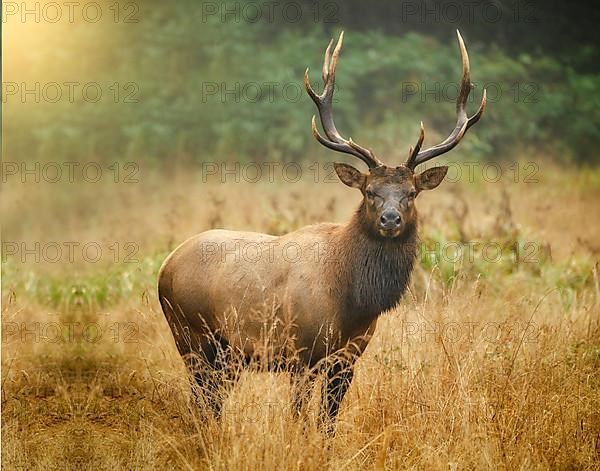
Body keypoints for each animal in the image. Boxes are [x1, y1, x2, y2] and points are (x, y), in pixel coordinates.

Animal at [157, 28, 486, 428]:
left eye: (410, 193)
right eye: (370, 191)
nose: (390, 219)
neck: (352, 303)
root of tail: (165, 267)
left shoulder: (348, 358)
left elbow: (327, 422)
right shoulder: (298, 352)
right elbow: (299, 418)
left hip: (226, 355)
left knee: (212, 402)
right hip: (190, 335)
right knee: (202, 400)